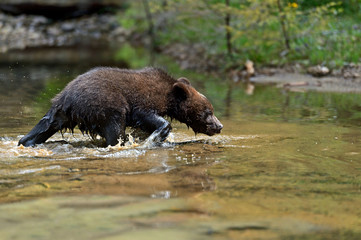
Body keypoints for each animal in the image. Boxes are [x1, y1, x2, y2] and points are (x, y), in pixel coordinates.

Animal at [19, 66, 222, 147]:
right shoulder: (143, 101)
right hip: (106, 106)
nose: (219, 126)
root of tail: (66, 97)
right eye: (208, 112)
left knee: (45, 125)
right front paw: (158, 134)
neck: (168, 98)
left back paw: (26, 141)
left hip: (60, 113)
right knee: (114, 130)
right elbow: (147, 116)